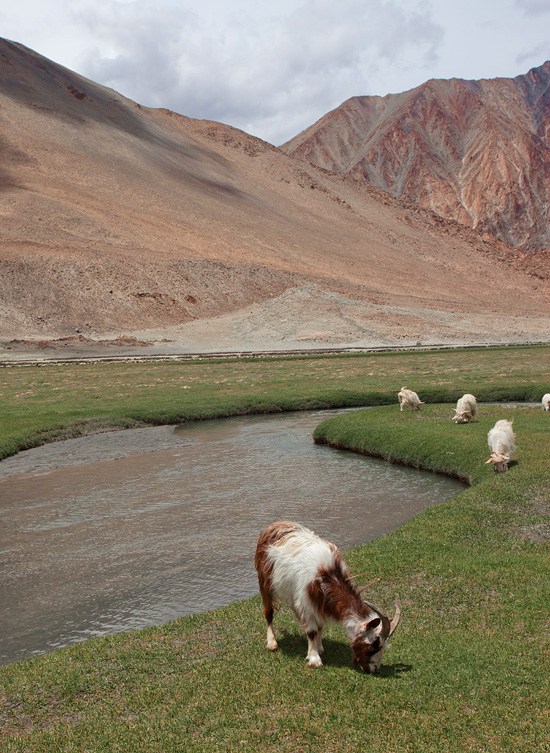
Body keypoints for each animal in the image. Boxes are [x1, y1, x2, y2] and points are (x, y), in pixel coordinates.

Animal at [254, 520, 402, 672]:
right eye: (373, 646)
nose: (374, 669)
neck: (327, 575)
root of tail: (275, 525)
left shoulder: (320, 603)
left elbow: (320, 627)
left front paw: (319, 648)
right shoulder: (307, 602)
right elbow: (312, 631)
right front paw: (314, 659)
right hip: (264, 582)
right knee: (269, 613)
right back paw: (272, 643)